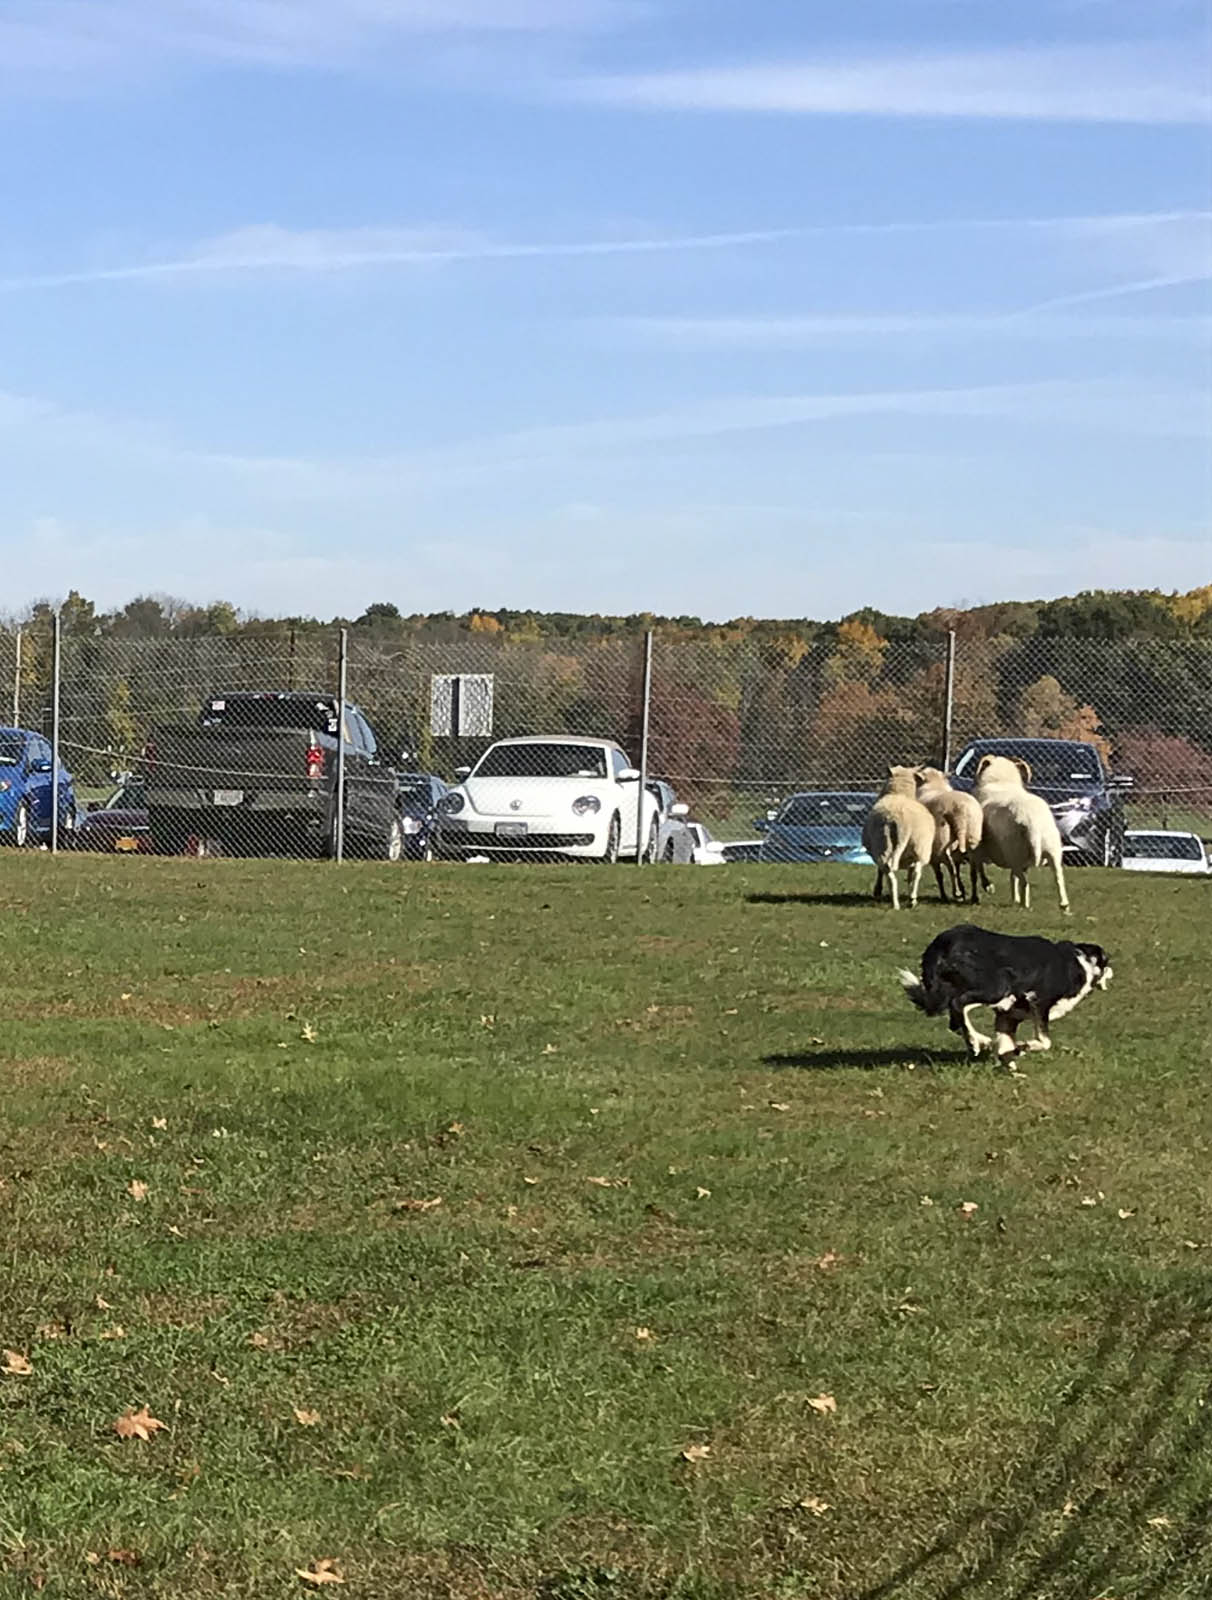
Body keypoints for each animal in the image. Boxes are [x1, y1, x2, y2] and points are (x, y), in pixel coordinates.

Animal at [857, 764, 933, 915]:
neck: (900, 793)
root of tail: (899, 820)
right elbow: (909, 875)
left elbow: (879, 871)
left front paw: (877, 890)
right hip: (918, 848)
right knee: (915, 873)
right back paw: (910, 901)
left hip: (883, 845)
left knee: (890, 872)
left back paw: (897, 903)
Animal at [914, 761, 991, 902]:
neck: (934, 785)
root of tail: (959, 808)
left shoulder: (934, 855)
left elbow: (940, 874)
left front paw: (948, 894)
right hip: (973, 835)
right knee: (975, 865)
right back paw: (980, 890)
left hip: (942, 840)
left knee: (951, 867)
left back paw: (957, 893)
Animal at [978, 752, 1074, 915]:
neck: (1001, 782)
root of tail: (1031, 819)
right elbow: (1012, 877)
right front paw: (1014, 898)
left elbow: (980, 867)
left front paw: (989, 887)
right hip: (1052, 849)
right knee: (1058, 878)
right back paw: (1064, 905)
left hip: (1013, 852)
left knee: (1024, 881)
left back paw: (1024, 905)